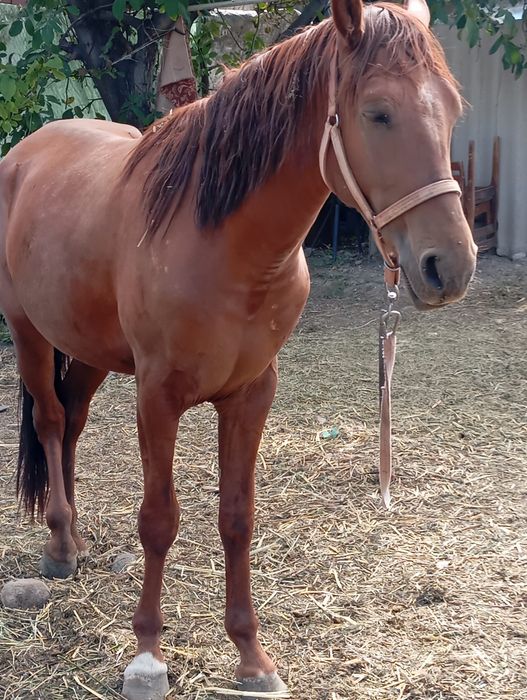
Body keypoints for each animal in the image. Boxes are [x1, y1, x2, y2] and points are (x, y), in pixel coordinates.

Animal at [0, 0, 477, 697]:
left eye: (451, 109)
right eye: (378, 112)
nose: (451, 267)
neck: (219, 241)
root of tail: (27, 151)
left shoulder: (253, 394)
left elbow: (237, 517)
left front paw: (252, 657)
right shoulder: (157, 397)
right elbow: (159, 519)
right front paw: (148, 656)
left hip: (86, 348)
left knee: (75, 423)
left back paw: (79, 540)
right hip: (28, 332)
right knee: (52, 420)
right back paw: (60, 547)